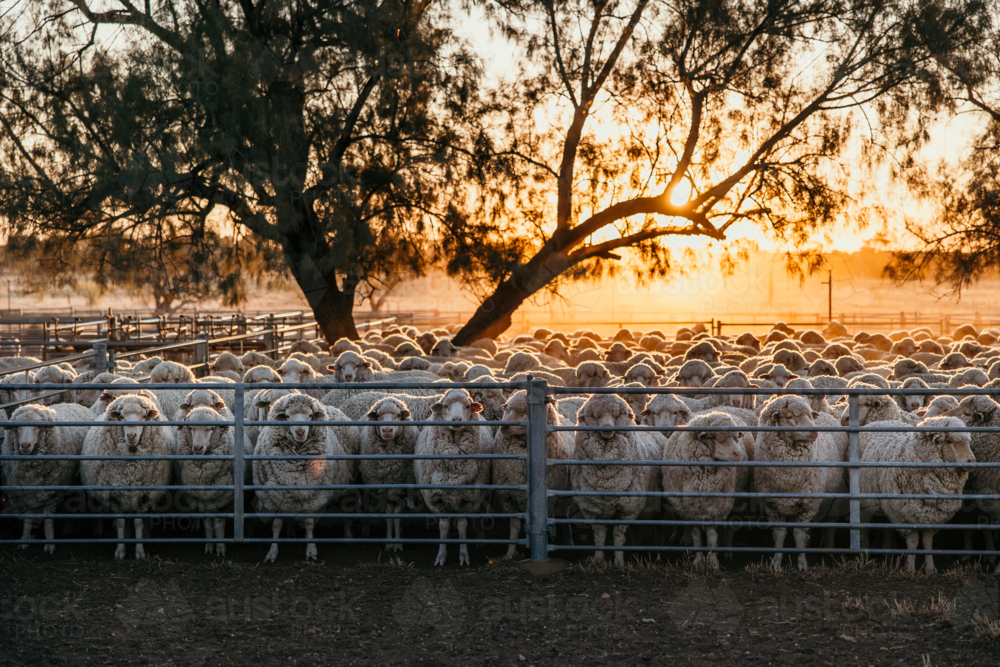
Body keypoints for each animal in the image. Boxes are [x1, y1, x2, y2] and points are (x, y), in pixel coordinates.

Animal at [1, 402, 94, 552]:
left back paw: (69, 527)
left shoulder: (54, 490)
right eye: (18, 427)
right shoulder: (24, 491)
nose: (25, 445)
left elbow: (48, 518)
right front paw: (24, 539)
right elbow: (28, 517)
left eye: (38, 427)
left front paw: (50, 543)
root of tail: (74, 403)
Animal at [80, 394, 174, 560]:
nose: (131, 436)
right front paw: (120, 550)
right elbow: (121, 522)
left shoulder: (144, 496)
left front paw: (140, 551)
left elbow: (138, 522)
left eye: (144, 416)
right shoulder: (114, 496)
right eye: (122, 416)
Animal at [414, 388, 492, 568]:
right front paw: (441, 556)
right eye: (445, 406)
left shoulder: (467, 497)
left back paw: (480, 538)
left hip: (482, 493)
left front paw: (463, 555)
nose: (456, 419)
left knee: (480, 512)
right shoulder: (437, 498)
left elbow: (462, 524)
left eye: (468, 406)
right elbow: (444, 525)